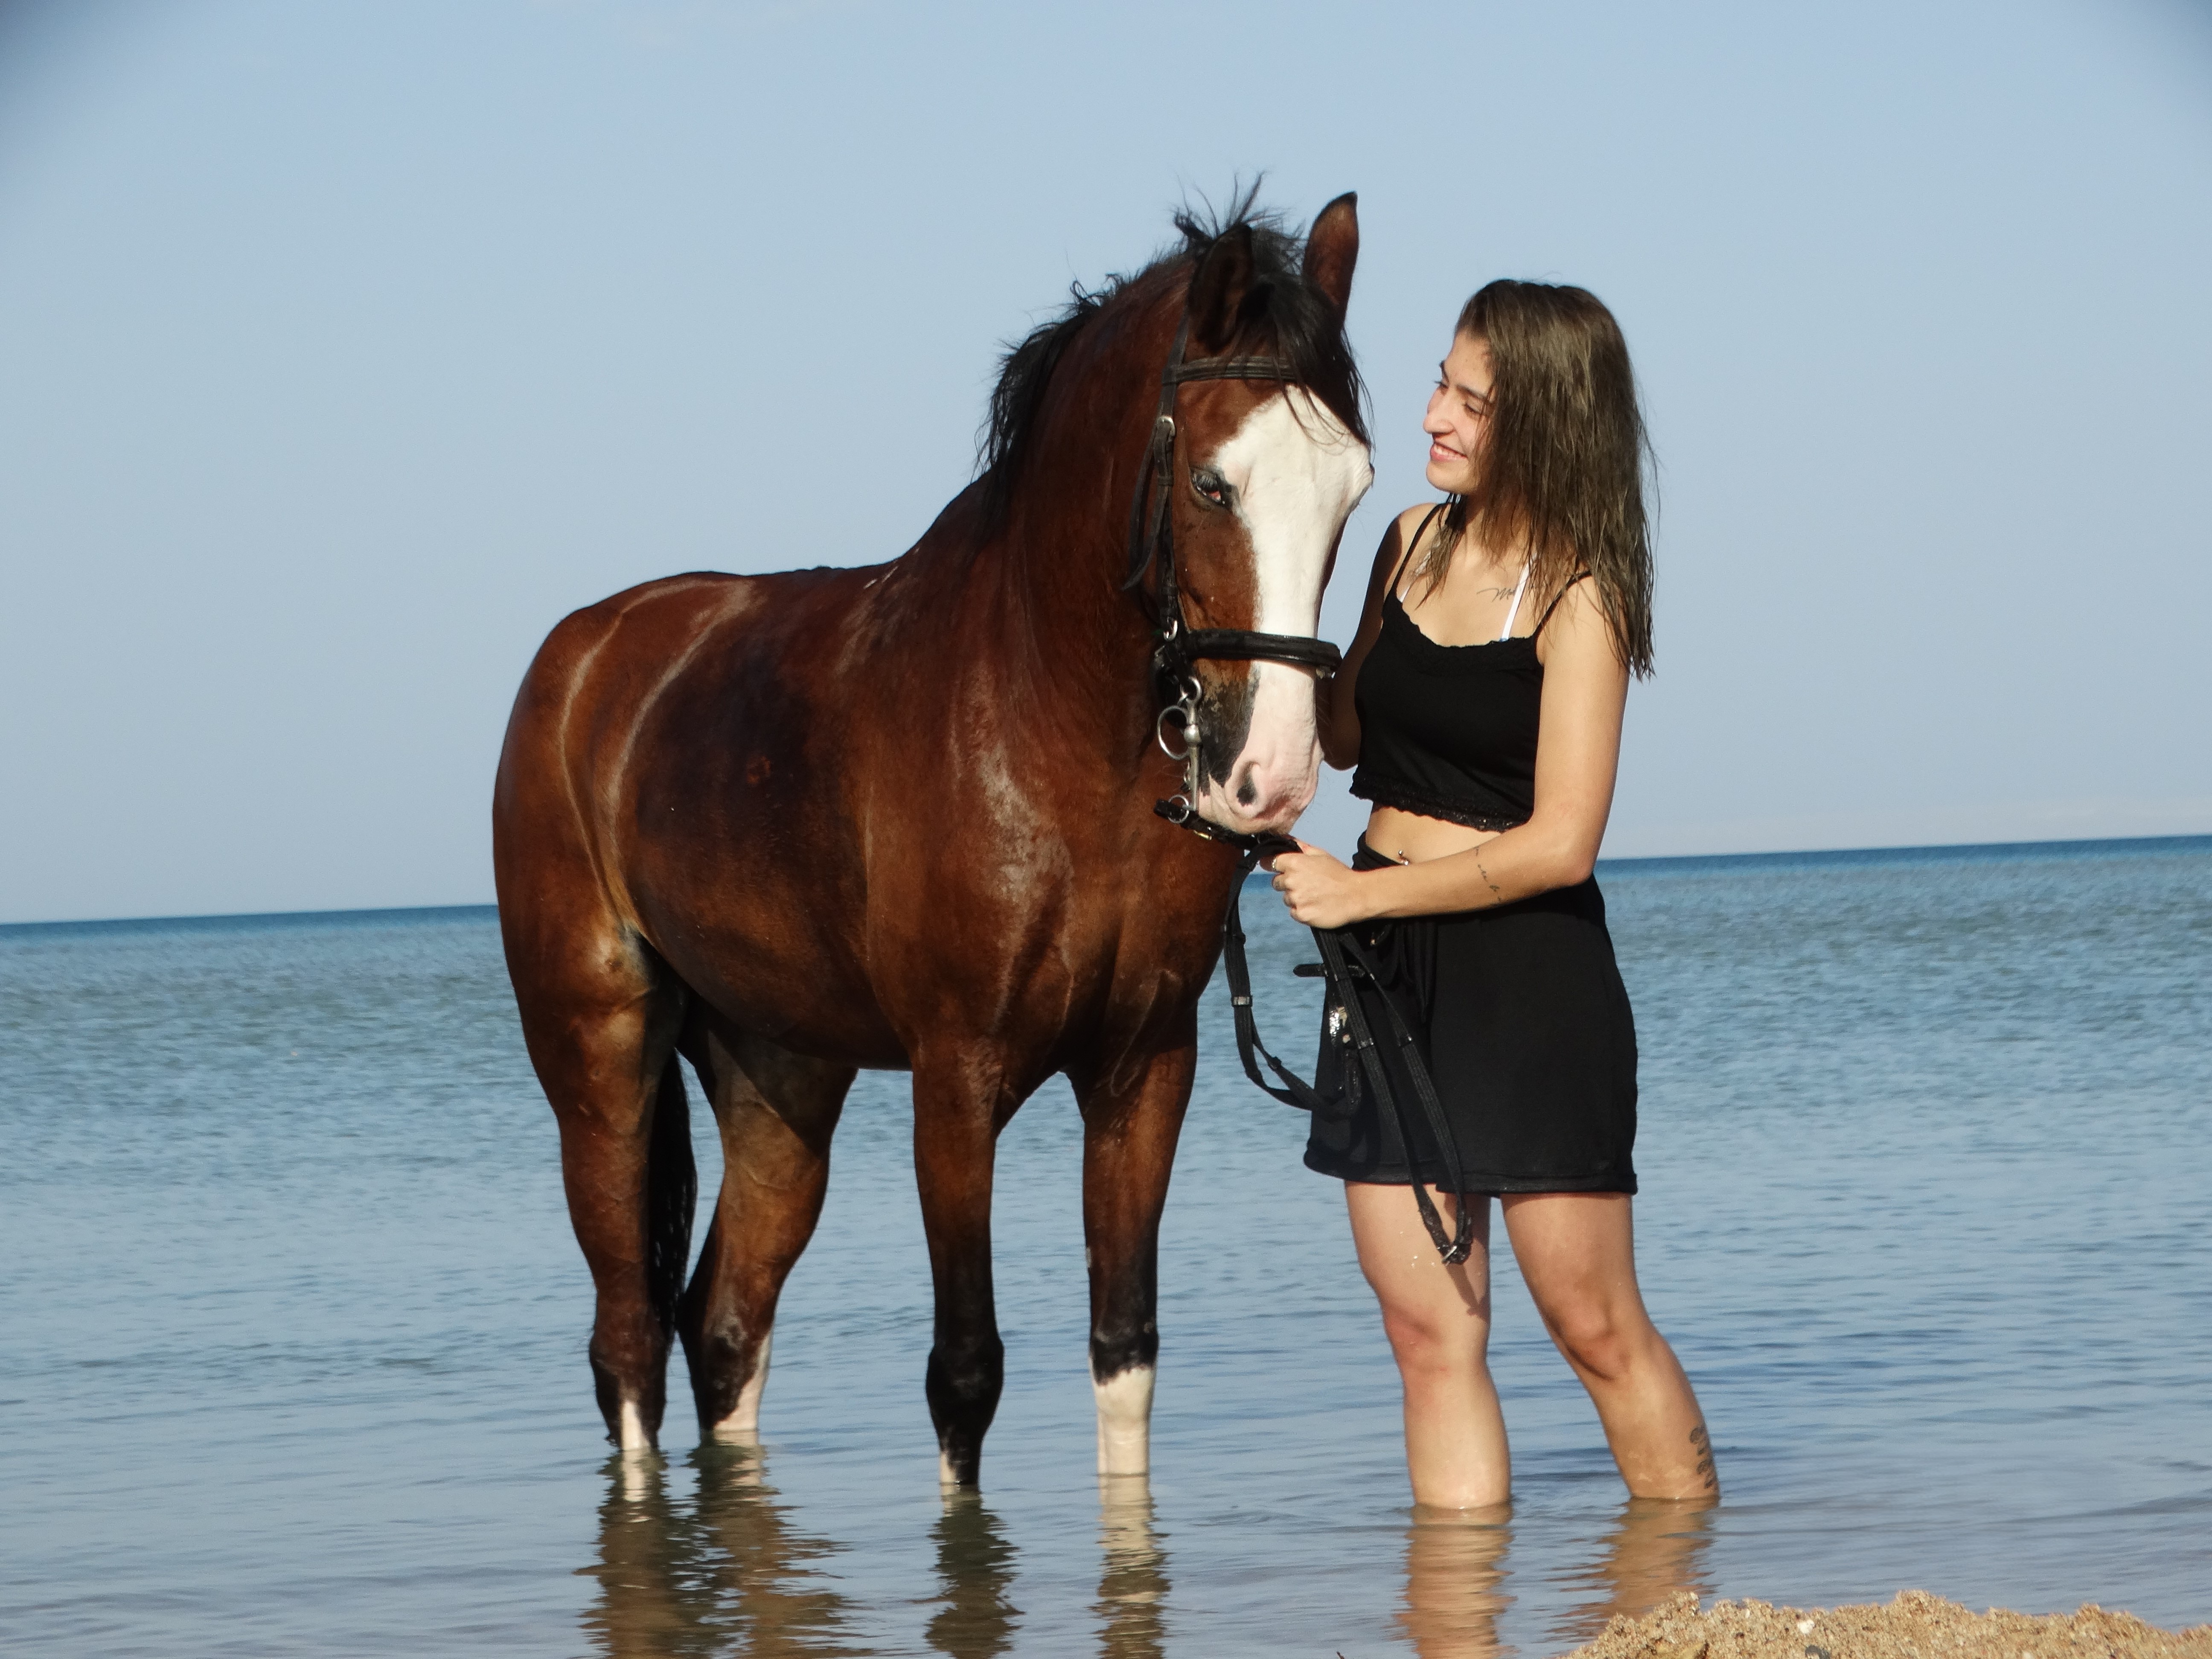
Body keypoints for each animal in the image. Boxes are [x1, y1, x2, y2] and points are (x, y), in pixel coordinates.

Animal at [491, 194, 1374, 1488]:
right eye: (1214, 486)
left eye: (1354, 488)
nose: (1270, 776)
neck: (1047, 730)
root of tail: (580, 661)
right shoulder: (956, 1081)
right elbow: (965, 1374)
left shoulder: (1142, 1071)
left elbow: (1124, 1355)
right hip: (600, 1066)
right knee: (628, 1344)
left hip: (780, 1083)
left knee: (724, 1327)